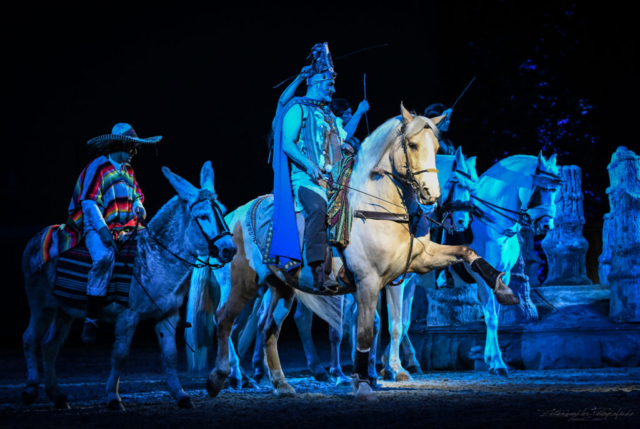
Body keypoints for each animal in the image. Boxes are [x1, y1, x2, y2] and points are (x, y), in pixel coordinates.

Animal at [22, 160, 239, 408]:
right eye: (202, 216)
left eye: (222, 212)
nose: (229, 249)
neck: (156, 259)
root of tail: (36, 238)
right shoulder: (128, 314)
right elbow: (120, 354)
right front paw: (113, 397)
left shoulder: (168, 314)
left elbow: (170, 356)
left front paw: (181, 395)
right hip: (41, 306)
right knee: (30, 340)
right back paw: (30, 390)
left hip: (64, 310)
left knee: (50, 346)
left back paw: (57, 395)